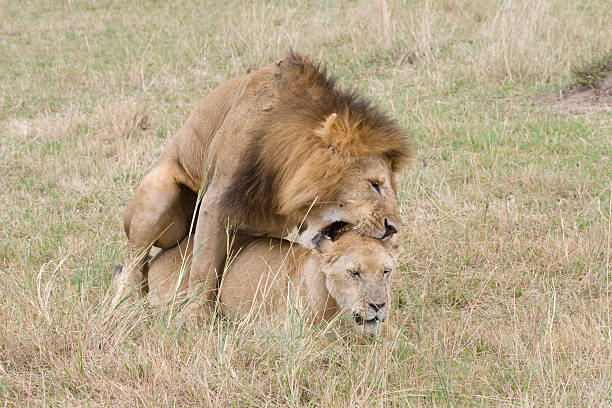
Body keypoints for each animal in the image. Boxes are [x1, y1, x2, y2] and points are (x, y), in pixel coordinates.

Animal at [115, 51, 412, 320]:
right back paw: (127, 305)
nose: (392, 228)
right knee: (134, 262)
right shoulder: (217, 199)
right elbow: (203, 266)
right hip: (160, 193)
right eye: (375, 185)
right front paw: (194, 316)